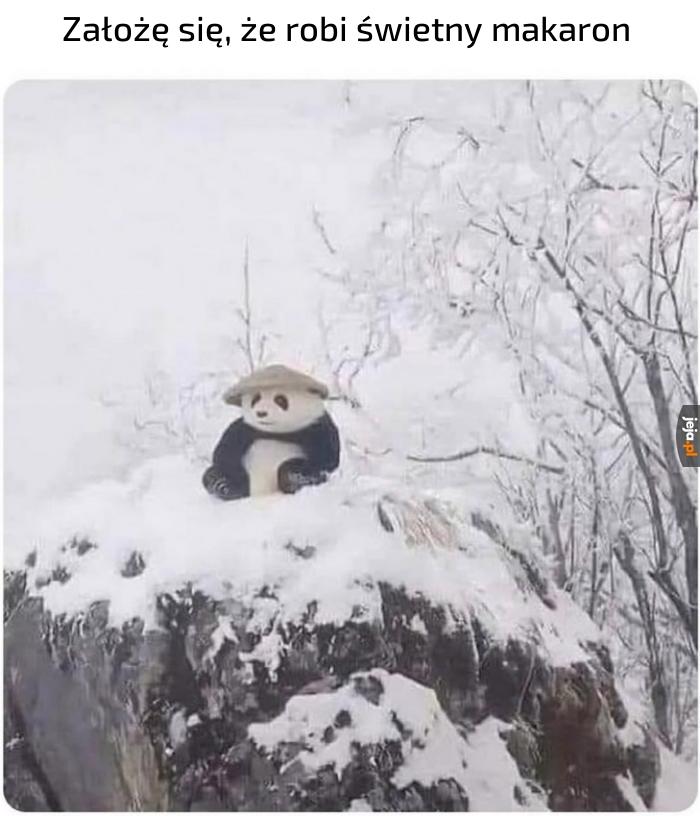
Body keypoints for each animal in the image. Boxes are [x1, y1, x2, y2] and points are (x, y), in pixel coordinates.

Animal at [202, 364, 340, 500]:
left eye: (280, 399)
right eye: (255, 398)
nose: (261, 413)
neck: (276, 432)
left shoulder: (316, 427)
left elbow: (326, 459)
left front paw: (295, 477)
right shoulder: (246, 429)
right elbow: (225, 452)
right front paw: (225, 483)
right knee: (211, 474)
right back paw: (223, 485)